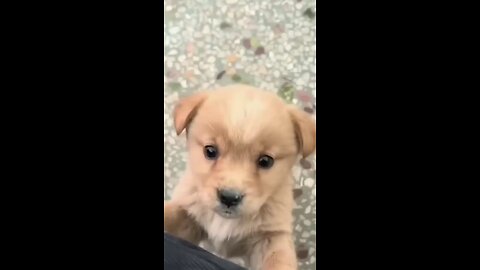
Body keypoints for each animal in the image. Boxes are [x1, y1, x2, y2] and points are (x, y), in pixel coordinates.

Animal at [163, 84, 316, 270]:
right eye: (210, 151)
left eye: (266, 161)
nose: (229, 198)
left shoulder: (270, 236)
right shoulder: (187, 216)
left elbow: (278, 261)